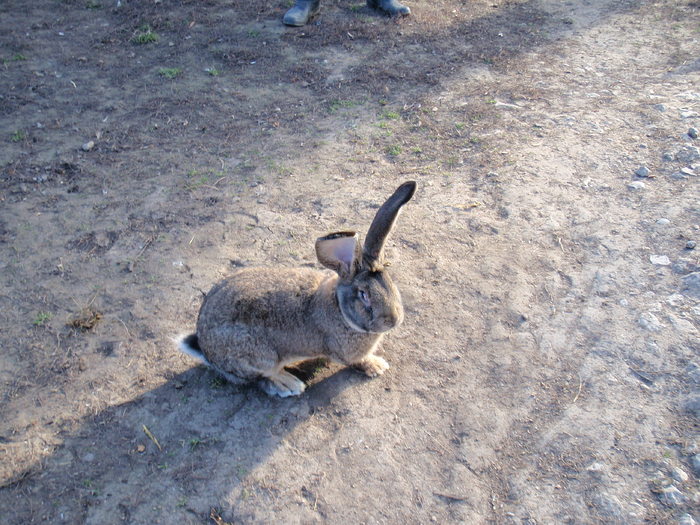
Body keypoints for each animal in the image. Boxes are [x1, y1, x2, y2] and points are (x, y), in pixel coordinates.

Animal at [178, 181, 416, 398]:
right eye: (363, 294)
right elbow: (357, 361)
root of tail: (206, 351)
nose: (393, 320)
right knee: (260, 377)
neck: (339, 308)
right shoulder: (343, 352)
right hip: (257, 355)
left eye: (390, 283)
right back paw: (288, 384)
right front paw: (377, 366)